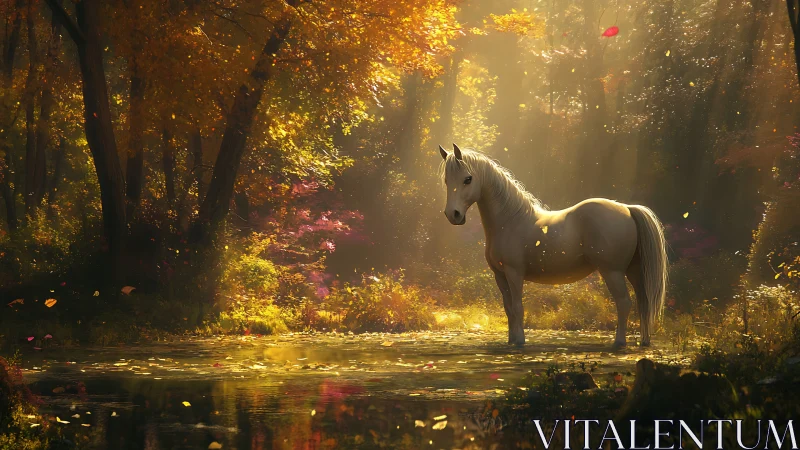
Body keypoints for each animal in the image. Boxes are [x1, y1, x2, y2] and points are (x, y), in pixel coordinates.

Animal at [439, 144, 668, 348]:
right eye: (446, 180)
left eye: (468, 179)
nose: (453, 215)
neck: (511, 219)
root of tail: (627, 209)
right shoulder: (500, 275)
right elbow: (508, 308)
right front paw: (511, 340)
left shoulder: (514, 273)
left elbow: (518, 307)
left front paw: (520, 341)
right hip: (634, 271)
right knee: (643, 302)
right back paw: (644, 341)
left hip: (613, 272)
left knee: (624, 302)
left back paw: (619, 342)